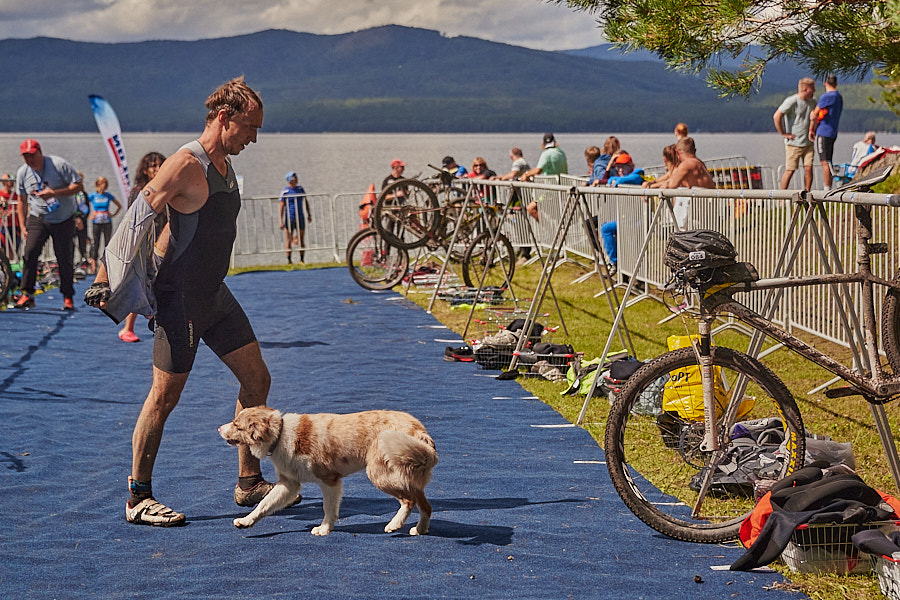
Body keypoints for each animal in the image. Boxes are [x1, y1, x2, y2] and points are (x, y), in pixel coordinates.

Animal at [221, 406, 440, 536]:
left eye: (236, 425)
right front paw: (246, 521)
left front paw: (324, 529)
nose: (218, 429)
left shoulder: (329, 480)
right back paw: (419, 529)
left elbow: (328, 508)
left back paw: (398, 525)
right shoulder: (288, 484)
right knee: (424, 505)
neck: (280, 435)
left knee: (410, 501)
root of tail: (421, 433)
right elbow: (264, 505)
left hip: (380, 474)